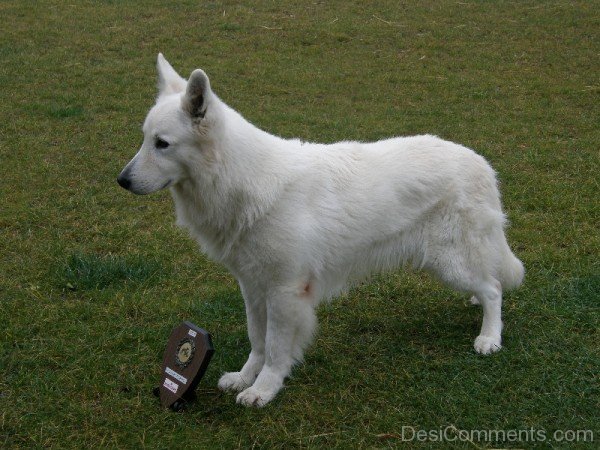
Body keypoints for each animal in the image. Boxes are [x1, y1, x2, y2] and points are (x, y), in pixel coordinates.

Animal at [117, 54, 520, 406]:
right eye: (144, 139)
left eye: (162, 144)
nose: (121, 181)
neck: (240, 180)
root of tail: (481, 163)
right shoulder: (253, 286)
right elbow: (257, 340)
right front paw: (245, 378)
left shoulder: (284, 292)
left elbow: (276, 348)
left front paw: (264, 389)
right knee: (487, 284)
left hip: (448, 262)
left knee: (494, 289)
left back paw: (489, 337)